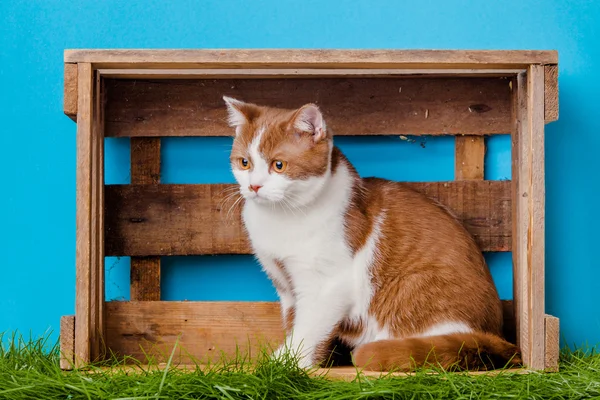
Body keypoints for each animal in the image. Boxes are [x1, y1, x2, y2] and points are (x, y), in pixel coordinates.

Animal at [225, 97, 520, 372]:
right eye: (244, 163)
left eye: (279, 165)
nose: (254, 186)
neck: (281, 217)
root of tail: (495, 337)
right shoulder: (286, 287)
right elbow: (294, 322)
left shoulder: (329, 284)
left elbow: (308, 328)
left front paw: (286, 363)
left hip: (412, 290)